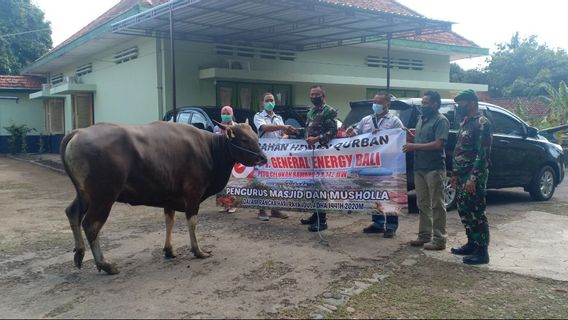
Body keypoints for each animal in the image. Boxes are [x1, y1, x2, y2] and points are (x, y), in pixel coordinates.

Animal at [61, 120, 266, 276]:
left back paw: (79, 253)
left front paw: (169, 250)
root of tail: (79, 132)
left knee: (72, 213)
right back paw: (105, 264)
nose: (263, 158)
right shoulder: (193, 194)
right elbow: (192, 222)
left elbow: (169, 221)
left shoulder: (170, 198)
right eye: (244, 139)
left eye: (256, 138)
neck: (210, 149)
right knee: (91, 225)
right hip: (103, 197)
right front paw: (198, 251)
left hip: (84, 195)